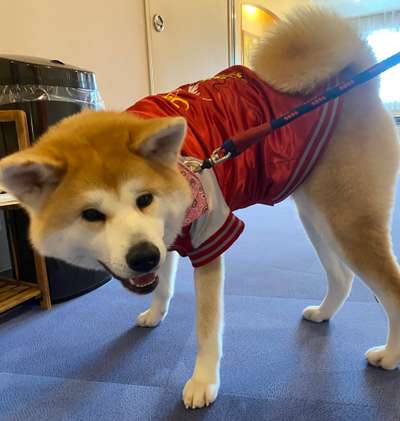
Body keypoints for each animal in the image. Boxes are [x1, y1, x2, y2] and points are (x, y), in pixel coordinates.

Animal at [0, 7, 400, 406]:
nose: (143, 257)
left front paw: (203, 381)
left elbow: (207, 328)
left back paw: (390, 355)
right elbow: (163, 284)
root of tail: (356, 77)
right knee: (343, 277)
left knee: (391, 289)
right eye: (91, 215)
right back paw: (323, 313)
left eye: (143, 199)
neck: (178, 165)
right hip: (317, 217)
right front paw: (156, 313)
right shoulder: (167, 235)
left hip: (347, 220)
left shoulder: (210, 235)